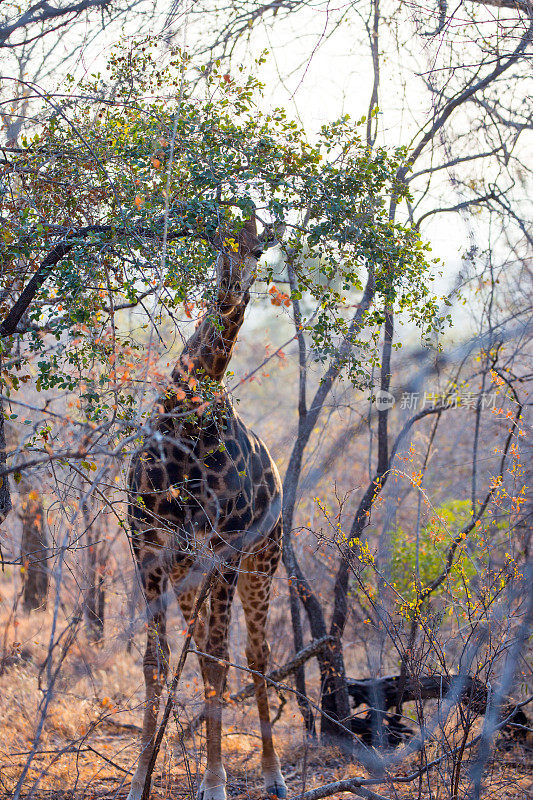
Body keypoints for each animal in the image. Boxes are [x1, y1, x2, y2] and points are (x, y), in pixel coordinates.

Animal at [127, 212, 286, 800]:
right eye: (218, 239)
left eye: (259, 250)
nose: (229, 290)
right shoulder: (148, 547)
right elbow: (155, 661)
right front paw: (139, 781)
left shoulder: (224, 550)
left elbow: (220, 660)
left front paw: (216, 783)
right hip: (187, 574)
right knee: (199, 652)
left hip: (262, 563)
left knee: (257, 656)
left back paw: (273, 774)